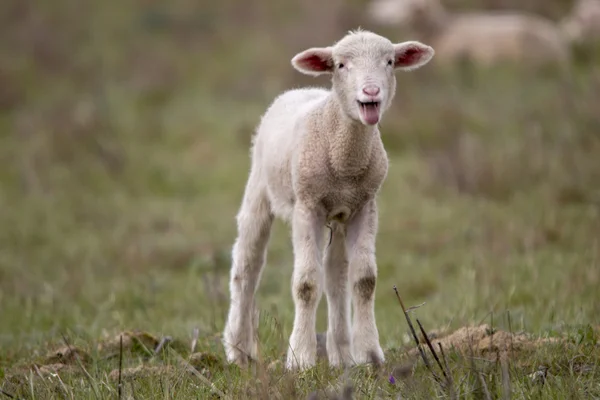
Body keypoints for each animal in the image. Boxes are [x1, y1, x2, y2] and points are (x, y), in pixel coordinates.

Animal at [223, 29, 434, 370]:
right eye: (341, 65)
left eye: (390, 61)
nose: (371, 91)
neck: (345, 161)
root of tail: (303, 89)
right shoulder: (307, 206)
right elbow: (306, 283)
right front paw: (300, 358)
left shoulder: (364, 206)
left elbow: (363, 280)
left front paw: (370, 355)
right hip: (259, 188)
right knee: (248, 264)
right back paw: (239, 350)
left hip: (337, 216)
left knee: (336, 274)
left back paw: (342, 354)